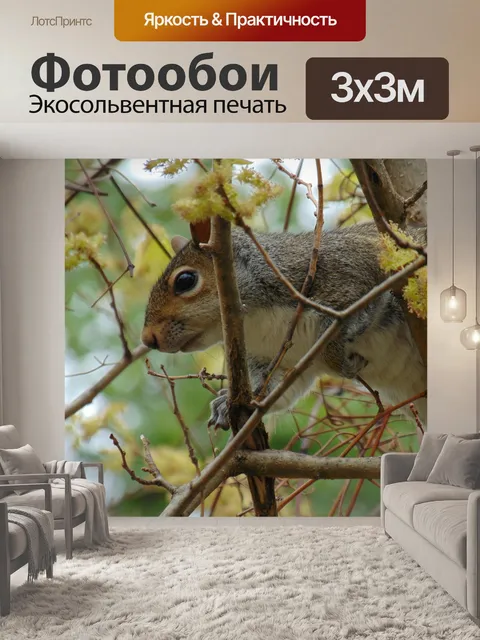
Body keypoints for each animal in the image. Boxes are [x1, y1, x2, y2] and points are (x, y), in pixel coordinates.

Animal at [142, 221, 427, 430]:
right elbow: (270, 391)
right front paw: (225, 403)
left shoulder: (357, 277)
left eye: (185, 280)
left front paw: (343, 364)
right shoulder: (284, 359)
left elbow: (341, 329)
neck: (257, 322)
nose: (148, 339)